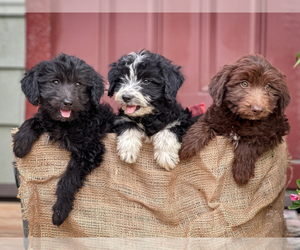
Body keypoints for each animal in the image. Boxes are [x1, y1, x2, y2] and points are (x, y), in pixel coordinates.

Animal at [12, 53, 115, 227]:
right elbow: (37, 119)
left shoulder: (90, 150)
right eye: (55, 82)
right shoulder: (49, 120)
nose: (68, 103)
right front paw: (20, 143)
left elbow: (68, 179)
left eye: (78, 84)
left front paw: (60, 211)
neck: (67, 123)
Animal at [179, 54, 290, 186]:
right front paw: (186, 147)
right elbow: (202, 125)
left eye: (268, 87)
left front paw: (242, 172)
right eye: (244, 84)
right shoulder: (214, 117)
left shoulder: (274, 130)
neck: (242, 119)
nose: (257, 109)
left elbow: (251, 143)